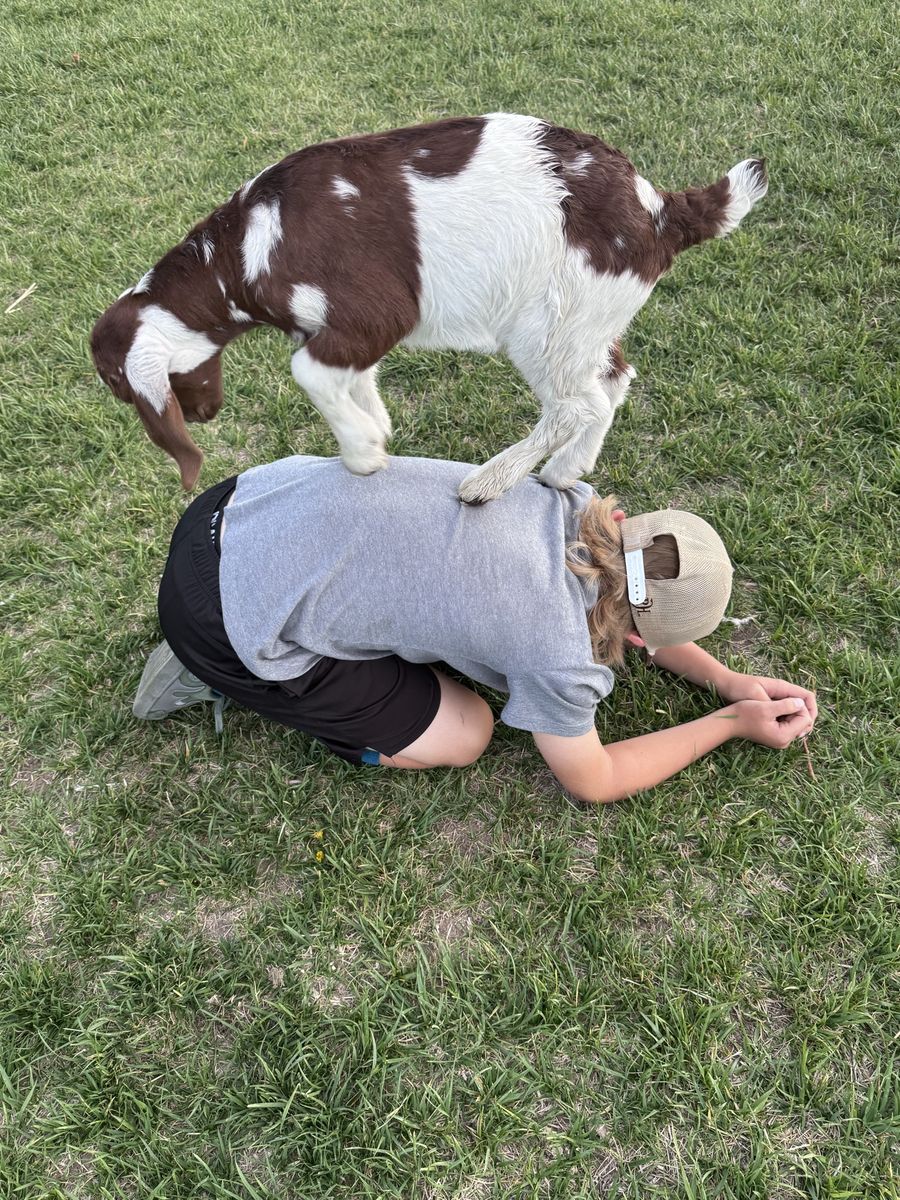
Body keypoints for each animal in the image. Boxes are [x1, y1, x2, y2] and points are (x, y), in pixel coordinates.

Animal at [91, 113, 767, 502]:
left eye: (118, 386)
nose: (202, 415)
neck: (242, 253)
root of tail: (659, 211)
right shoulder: (336, 332)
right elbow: (347, 376)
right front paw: (376, 427)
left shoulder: (373, 311)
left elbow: (308, 372)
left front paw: (363, 452)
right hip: (588, 317)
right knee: (612, 383)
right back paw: (564, 472)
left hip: (545, 322)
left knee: (577, 404)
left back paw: (487, 482)